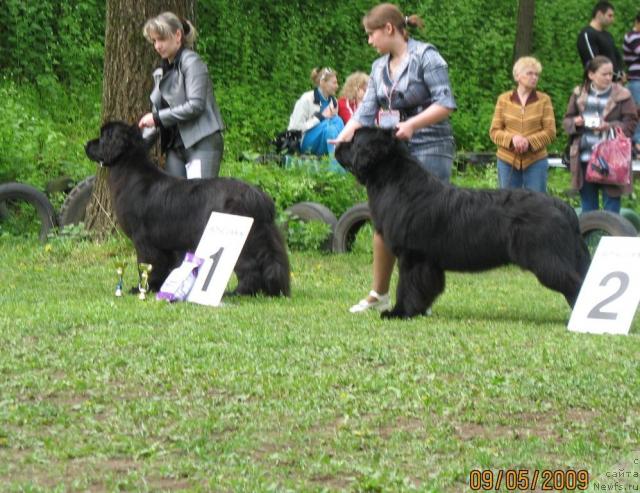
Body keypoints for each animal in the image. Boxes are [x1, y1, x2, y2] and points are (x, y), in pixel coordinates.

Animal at [86, 121, 292, 296]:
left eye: (102, 137)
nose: (87, 144)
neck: (129, 171)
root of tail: (258, 197)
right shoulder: (165, 245)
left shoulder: (143, 240)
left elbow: (148, 265)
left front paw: (142, 289)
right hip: (263, 238)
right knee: (274, 262)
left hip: (240, 240)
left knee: (250, 267)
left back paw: (239, 292)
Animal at [336, 128, 592, 320]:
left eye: (354, 140)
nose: (337, 144)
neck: (395, 182)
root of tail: (562, 206)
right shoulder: (428, 263)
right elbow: (424, 288)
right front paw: (418, 311)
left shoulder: (413, 256)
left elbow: (407, 286)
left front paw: (398, 313)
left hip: (547, 258)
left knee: (576, 283)